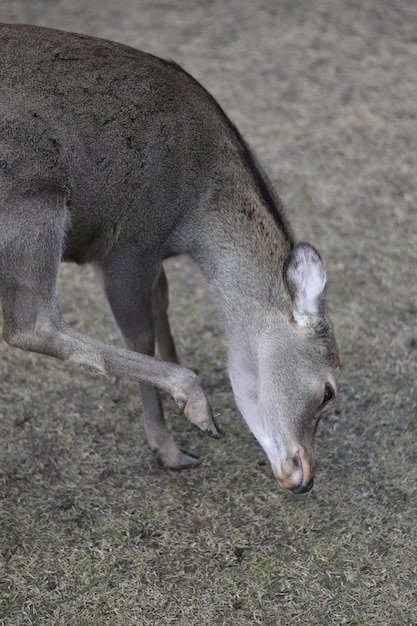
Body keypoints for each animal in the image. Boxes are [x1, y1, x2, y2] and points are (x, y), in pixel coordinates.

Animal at [0, 23, 338, 492]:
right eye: (328, 392)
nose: (304, 476)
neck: (190, 218)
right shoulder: (129, 245)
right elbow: (138, 333)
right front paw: (171, 442)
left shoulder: (152, 253)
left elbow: (162, 302)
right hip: (35, 197)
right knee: (32, 323)